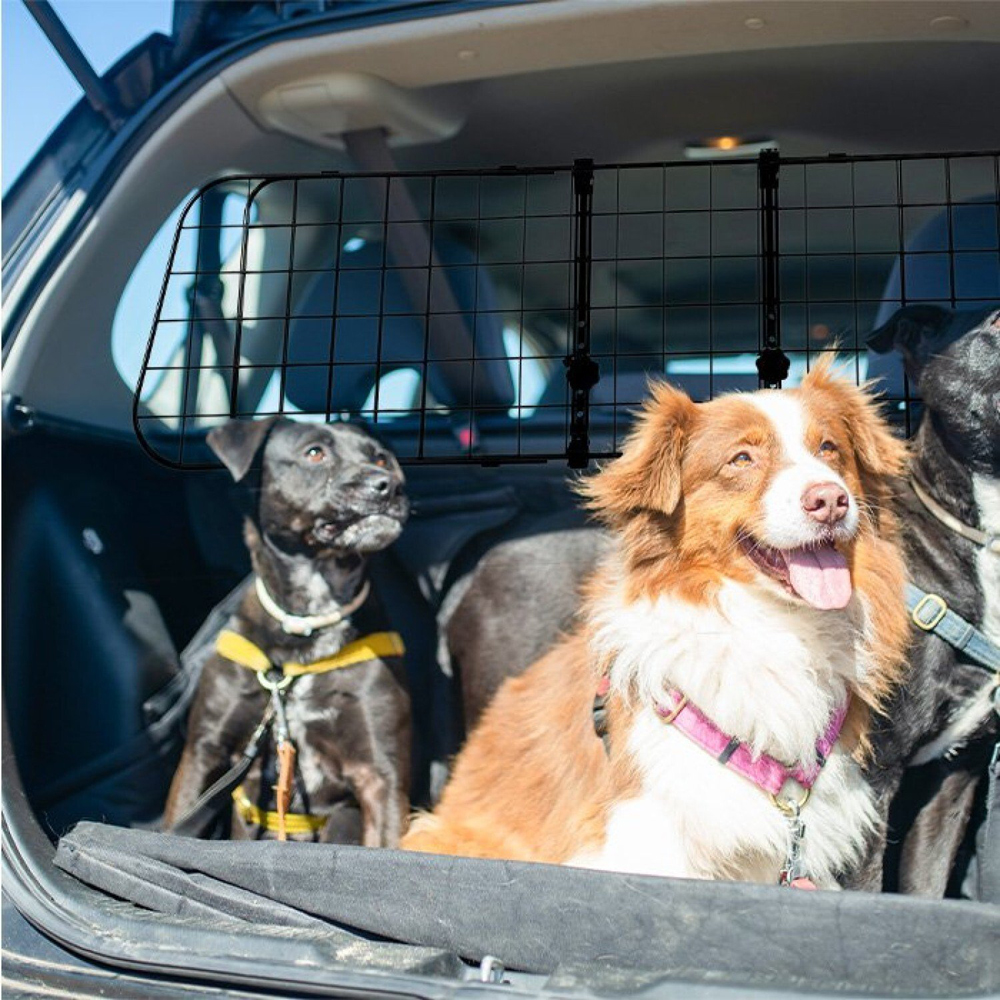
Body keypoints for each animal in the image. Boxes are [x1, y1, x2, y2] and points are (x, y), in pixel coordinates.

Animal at [164, 417, 411, 846]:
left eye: (380, 457)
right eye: (314, 453)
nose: (389, 484)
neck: (308, 624)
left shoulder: (381, 775)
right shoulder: (203, 752)